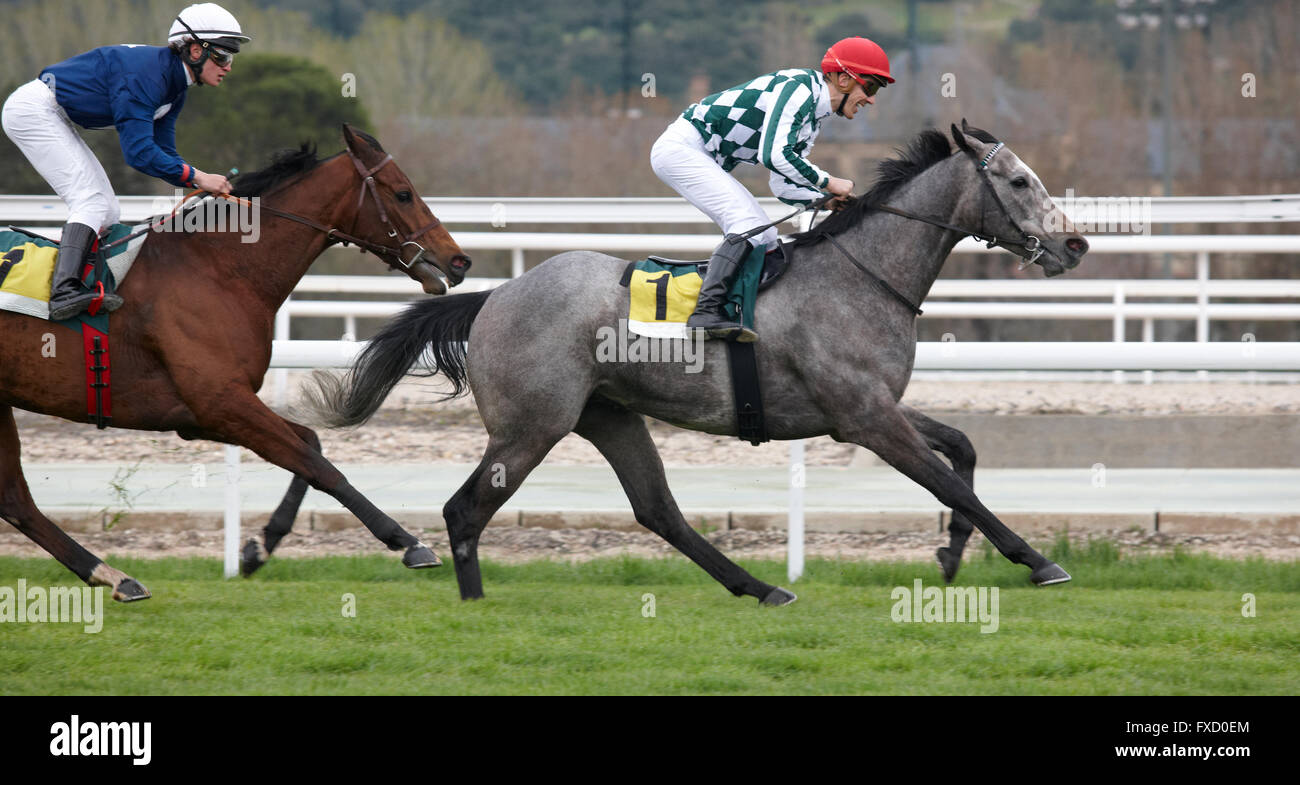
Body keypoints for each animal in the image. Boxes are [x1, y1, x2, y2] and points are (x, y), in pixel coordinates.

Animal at [0, 124, 471, 601]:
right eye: (403, 193)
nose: (458, 260)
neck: (218, 269)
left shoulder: (201, 414)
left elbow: (310, 445)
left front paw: (259, 548)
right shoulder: (221, 401)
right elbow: (317, 464)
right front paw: (408, 542)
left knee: (16, 501)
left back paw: (114, 575)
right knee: (16, 499)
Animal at [304, 121, 1089, 605]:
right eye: (1018, 181)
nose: (1075, 244)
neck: (861, 275)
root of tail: (495, 295)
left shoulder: (869, 410)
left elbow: (963, 449)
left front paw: (953, 555)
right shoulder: (865, 418)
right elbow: (949, 481)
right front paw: (1038, 561)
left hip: (609, 415)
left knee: (658, 510)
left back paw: (763, 588)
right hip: (531, 427)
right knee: (464, 508)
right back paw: (471, 602)